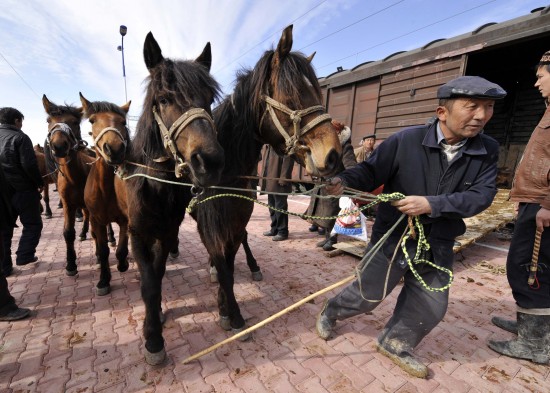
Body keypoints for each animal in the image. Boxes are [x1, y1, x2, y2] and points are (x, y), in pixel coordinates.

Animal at [43, 94, 94, 276]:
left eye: (75, 122)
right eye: (48, 120)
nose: (59, 146)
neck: (75, 177)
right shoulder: (68, 204)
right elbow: (68, 232)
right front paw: (71, 264)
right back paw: (83, 233)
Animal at [80, 92, 132, 294]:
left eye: (123, 122)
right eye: (92, 120)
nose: (115, 149)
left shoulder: (125, 219)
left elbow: (122, 249)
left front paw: (123, 264)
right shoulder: (96, 220)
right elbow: (103, 251)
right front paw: (104, 280)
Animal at [115, 31, 225, 364]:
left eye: (209, 99)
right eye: (163, 99)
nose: (210, 162)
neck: (155, 185)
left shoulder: (164, 233)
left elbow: (158, 273)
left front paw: (157, 316)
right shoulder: (139, 233)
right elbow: (149, 284)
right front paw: (153, 338)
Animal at [192, 23, 342, 336]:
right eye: (294, 94)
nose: (333, 155)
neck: (227, 174)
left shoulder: (238, 219)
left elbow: (230, 262)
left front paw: (229, 308)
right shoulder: (207, 218)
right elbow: (220, 261)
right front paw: (229, 310)